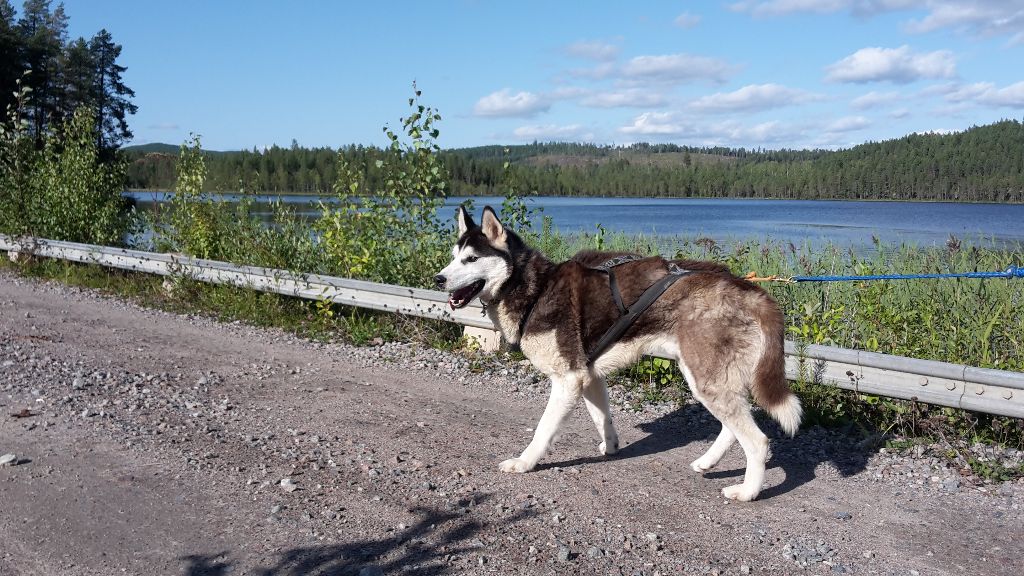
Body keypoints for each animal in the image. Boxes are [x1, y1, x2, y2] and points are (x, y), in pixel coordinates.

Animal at [432, 204, 798, 498]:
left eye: (471, 259)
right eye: (452, 257)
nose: (438, 278)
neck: (535, 289)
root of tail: (748, 289)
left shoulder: (568, 379)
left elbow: (543, 430)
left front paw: (524, 462)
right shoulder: (589, 377)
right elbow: (602, 417)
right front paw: (610, 446)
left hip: (706, 379)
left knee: (757, 441)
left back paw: (748, 492)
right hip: (707, 379)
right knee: (731, 426)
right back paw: (708, 461)